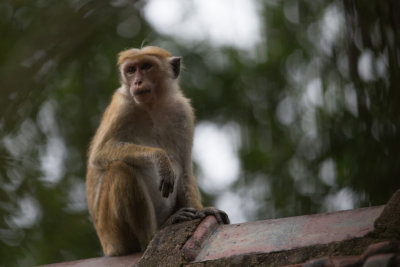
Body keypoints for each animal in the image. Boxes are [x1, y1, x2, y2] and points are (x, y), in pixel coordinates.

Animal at [86, 46, 230, 258]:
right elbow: (99, 154)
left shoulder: (183, 112)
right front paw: (160, 158)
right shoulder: (122, 106)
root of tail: (108, 247)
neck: (151, 106)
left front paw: (202, 211)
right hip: (113, 233)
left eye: (146, 66)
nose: (137, 81)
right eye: (131, 70)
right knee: (120, 168)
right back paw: (153, 236)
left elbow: (185, 170)